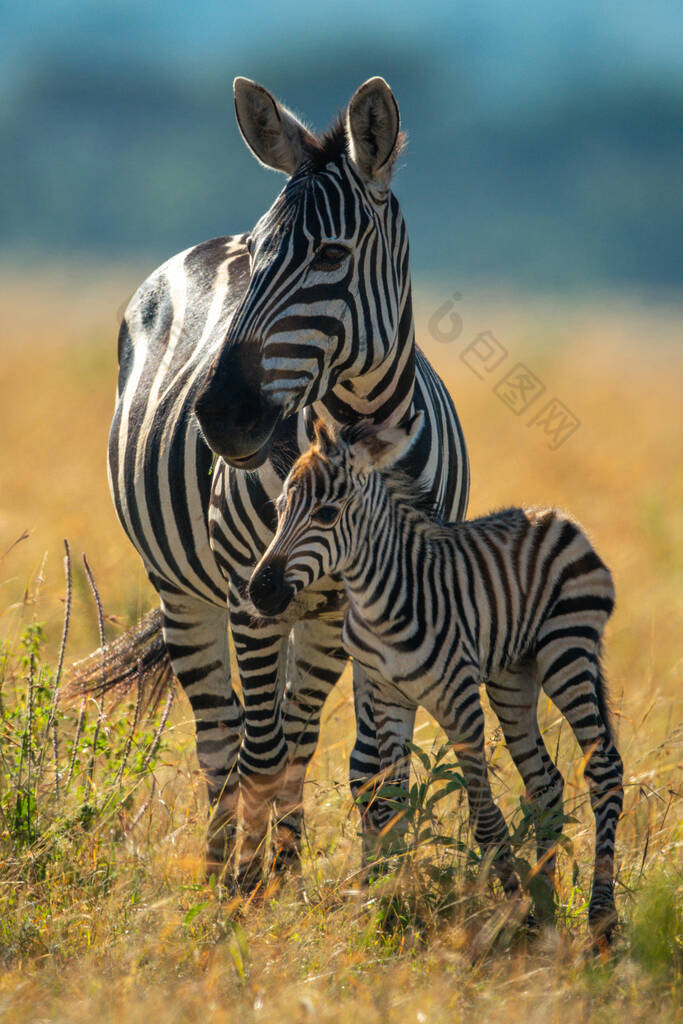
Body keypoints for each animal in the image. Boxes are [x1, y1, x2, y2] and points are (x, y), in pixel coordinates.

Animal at [108, 77, 471, 880]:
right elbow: (260, 753)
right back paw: (224, 876)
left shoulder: (391, 600)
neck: (364, 435)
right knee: (227, 743)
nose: (222, 415)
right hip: (186, 591)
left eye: (333, 253)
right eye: (259, 254)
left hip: (318, 616)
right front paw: (249, 891)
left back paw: (282, 867)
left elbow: (378, 769)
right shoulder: (251, 592)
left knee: (295, 735)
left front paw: (383, 889)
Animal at [249, 413, 626, 937]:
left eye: (326, 513)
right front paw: (385, 906)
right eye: (280, 508)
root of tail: (557, 516)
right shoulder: (389, 697)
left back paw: (600, 920)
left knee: (604, 768)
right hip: (513, 675)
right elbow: (389, 806)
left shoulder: (459, 700)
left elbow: (484, 817)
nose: (259, 591)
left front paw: (509, 906)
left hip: (567, 649)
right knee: (546, 781)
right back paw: (545, 911)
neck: (377, 601)